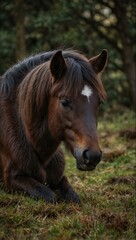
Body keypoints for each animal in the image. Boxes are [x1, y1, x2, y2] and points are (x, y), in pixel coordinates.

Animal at [0, 49, 108, 203]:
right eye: (64, 102)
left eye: (99, 102)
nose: (92, 156)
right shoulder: (11, 179)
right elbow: (49, 195)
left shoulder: (59, 178)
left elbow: (74, 197)